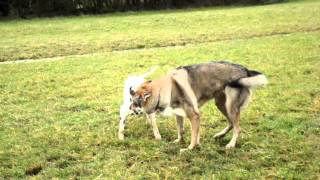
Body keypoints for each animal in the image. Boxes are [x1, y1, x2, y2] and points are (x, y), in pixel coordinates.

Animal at [129, 61, 266, 151]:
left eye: (134, 102)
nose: (129, 108)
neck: (168, 89)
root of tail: (246, 70)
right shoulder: (180, 115)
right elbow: (181, 131)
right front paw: (180, 142)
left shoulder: (195, 116)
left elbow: (193, 135)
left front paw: (189, 148)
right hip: (221, 104)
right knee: (231, 123)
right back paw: (220, 135)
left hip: (230, 106)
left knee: (237, 128)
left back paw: (231, 144)